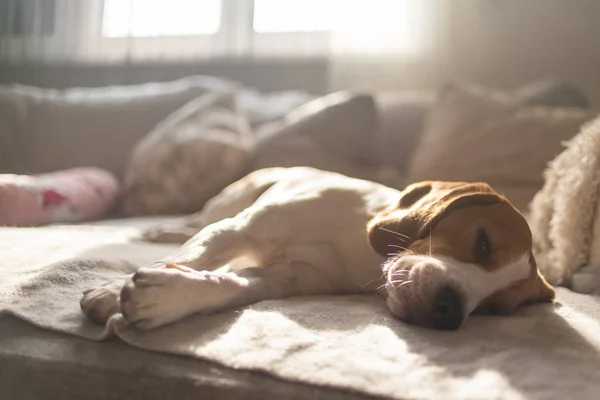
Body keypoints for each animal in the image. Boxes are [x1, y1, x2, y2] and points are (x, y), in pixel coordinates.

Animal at [79, 166, 552, 332]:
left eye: (493, 309)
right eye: (483, 242)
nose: (451, 312)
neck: (360, 250)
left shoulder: (281, 279)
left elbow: (225, 283)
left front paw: (167, 297)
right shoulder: (236, 229)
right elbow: (193, 257)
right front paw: (110, 292)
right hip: (229, 204)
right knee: (194, 223)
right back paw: (161, 229)